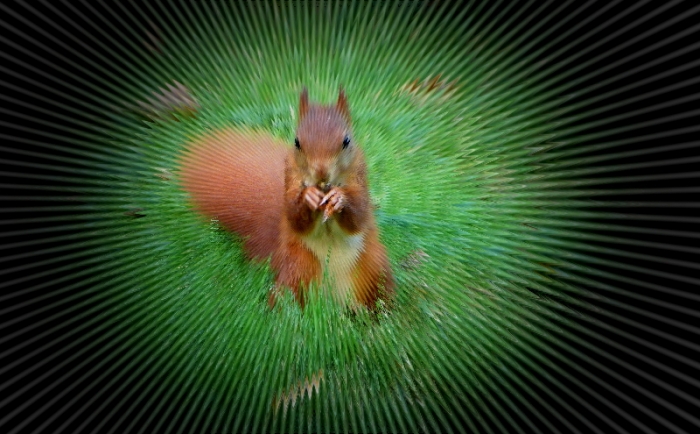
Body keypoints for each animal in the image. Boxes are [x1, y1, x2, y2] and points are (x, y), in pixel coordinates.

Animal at [179, 88, 394, 311]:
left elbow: (359, 214)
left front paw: (339, 198)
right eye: (297, 142)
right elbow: (295, 216)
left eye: (346, 141)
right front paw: (308, 197)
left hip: (374, 268)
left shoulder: (360, 177)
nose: (321, 173)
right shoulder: (290, 178)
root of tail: (332, 302)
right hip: (297, 269)